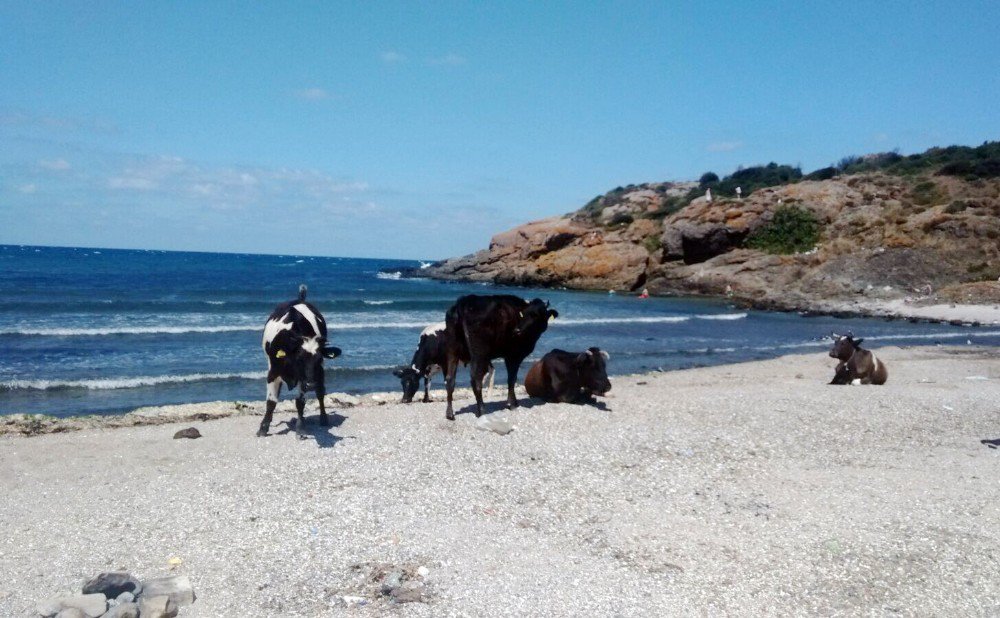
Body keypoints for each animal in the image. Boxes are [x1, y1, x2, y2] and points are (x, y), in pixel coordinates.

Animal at [260, 286, 342, 438]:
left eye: (319, 358)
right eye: (299, 359)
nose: (311, 385)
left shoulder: (305, 377)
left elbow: (300, 402)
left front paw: (301, 427)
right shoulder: (273, 372)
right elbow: (271, 402)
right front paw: (263, 428)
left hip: (318, 374)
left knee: (320, 392)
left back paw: (323, 419)